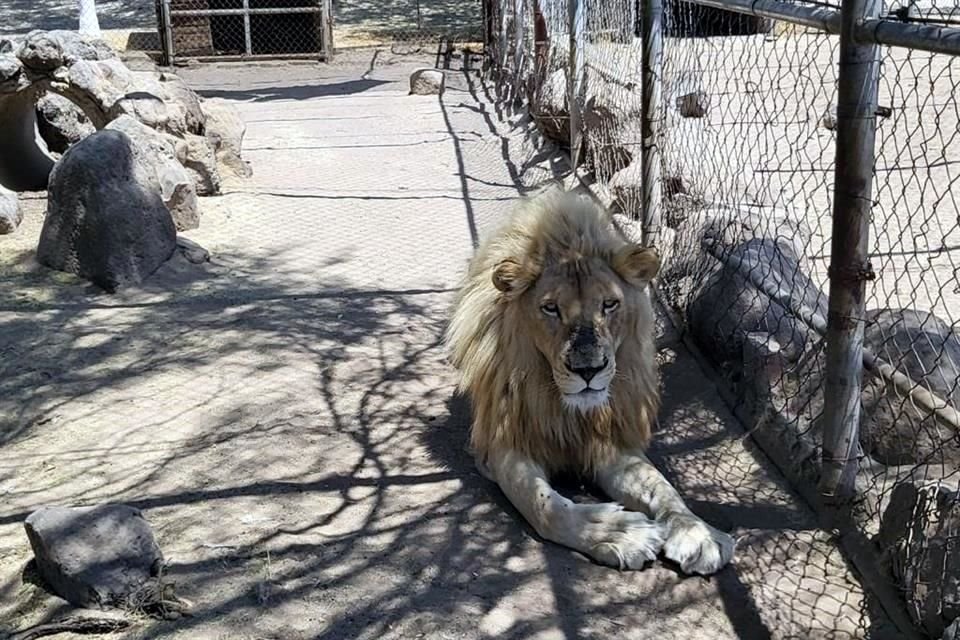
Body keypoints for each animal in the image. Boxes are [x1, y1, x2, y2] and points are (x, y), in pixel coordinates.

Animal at [444, 188, 736, 572]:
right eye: (550, 308)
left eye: (609, 304)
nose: (589, 371)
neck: (566, 407)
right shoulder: (506, 443)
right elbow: (545, 505)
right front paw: (617, 533)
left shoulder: (611, 442)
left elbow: (663, 487)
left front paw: (698, 532)